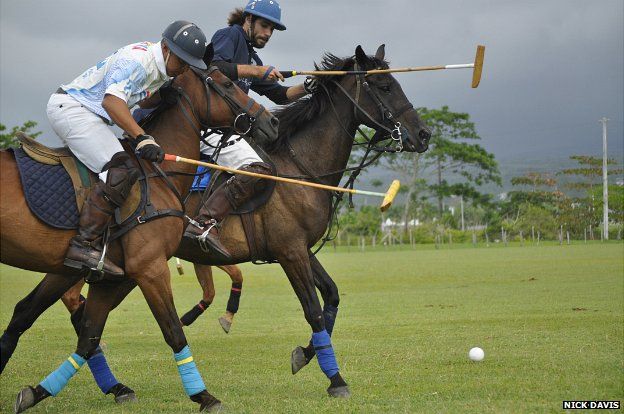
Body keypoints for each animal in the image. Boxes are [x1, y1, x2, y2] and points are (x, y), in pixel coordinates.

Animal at [0, 64, 278, 410]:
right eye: (227, 84)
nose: (272, 123)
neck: (159, 175)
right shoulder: (150, 268)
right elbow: (173, 331)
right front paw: (203, 395)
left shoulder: (106, 277)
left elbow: (85, 336)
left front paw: (36, 393)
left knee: (30, 315)